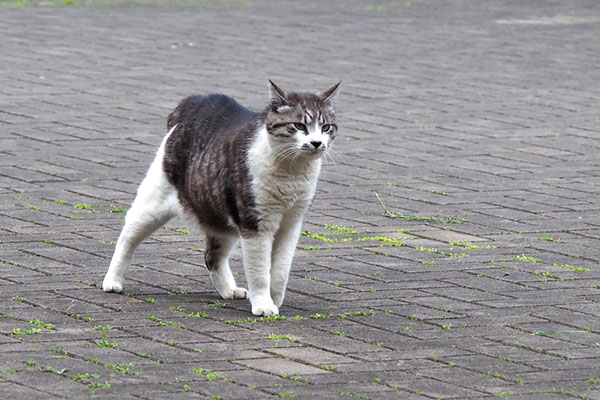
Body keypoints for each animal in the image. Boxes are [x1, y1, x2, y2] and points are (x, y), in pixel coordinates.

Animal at [101, 81, 340, 318]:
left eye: (326, 127)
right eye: (299, 126)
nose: (317, 142)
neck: (292, 170)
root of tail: (197, 101)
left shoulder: (291, 223)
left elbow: (281, 270)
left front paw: (275, 299)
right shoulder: (255, 223)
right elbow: (260, 271)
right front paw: (263, 304)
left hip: (220, 216)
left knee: (212, 257)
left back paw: (229, 290)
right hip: (153, 202)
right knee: (127, 237)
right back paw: (112, 281)